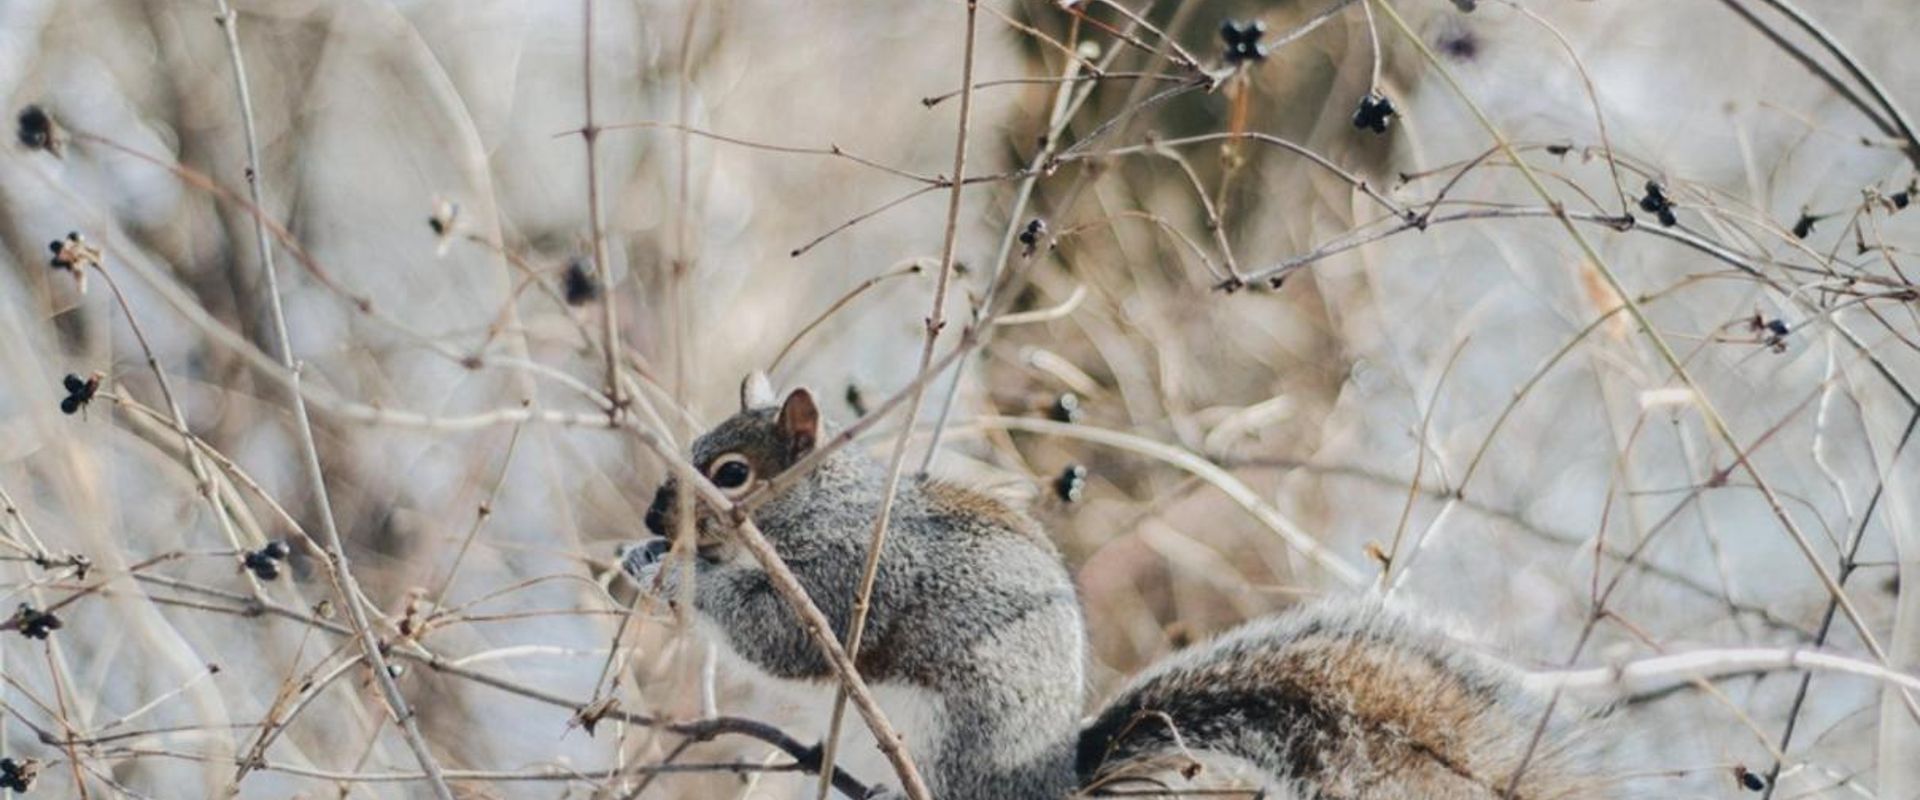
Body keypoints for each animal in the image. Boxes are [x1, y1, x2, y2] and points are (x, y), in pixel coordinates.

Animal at [622, 376, 1597, 800]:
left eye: (731, 473)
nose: (652, 514)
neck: (818, 508)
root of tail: (1051, 787)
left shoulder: (852, 575)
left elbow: (786, 639)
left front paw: (681, 575)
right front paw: (640, 564)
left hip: (953, 747)